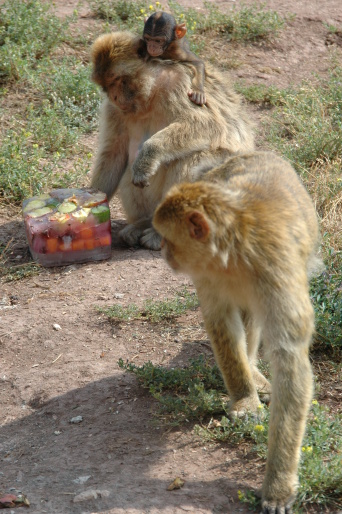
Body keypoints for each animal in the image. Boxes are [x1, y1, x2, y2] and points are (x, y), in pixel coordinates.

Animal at [90, 30, 254, 250]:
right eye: (107, 86)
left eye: (119, 80)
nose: (115, 96)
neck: (150, 95)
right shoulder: (114, 110)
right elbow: (114, 153)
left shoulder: (179, 85)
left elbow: (208, 124)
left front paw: (147, 157)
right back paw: (144, 224)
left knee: (191, 160)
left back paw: (164, 233)